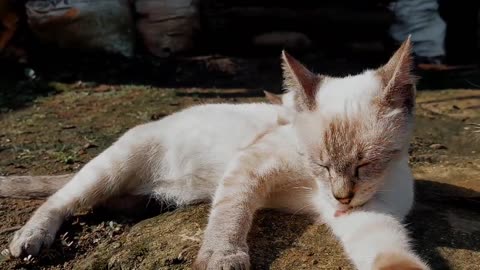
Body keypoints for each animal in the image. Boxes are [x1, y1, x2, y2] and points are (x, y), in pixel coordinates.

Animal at [3, 38, 430, 270]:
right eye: (319, 164)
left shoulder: (367, 214)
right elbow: (231, 212)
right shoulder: (251, 165)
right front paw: (223, 256)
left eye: (365, 165)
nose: (341, 198)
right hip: (110, 166)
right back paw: (29, 239)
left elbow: (389, 253)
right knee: (61, 200)